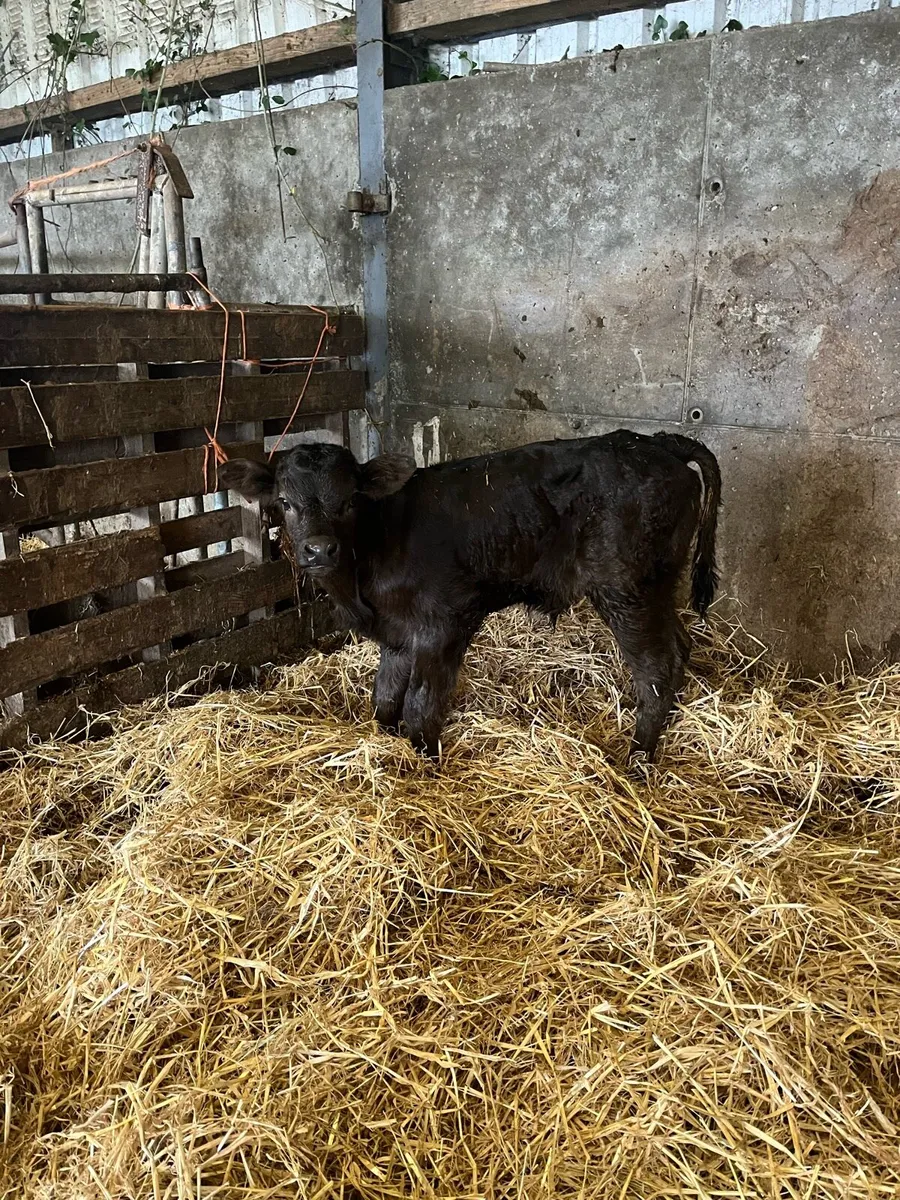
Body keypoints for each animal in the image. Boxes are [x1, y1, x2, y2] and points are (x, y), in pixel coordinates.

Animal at [220, 430, 721, 762]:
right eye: (285, 502)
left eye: (350, 501)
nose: (319, 550)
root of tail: (654, 442)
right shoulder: (398, 635)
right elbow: (385, 698)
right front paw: (385, 744)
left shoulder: (446, 622)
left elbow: (421, 704)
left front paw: (423, 762)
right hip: (658, 586)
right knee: (680, 647)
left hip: (627, 588)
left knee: (656, 667)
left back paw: (636, 760)